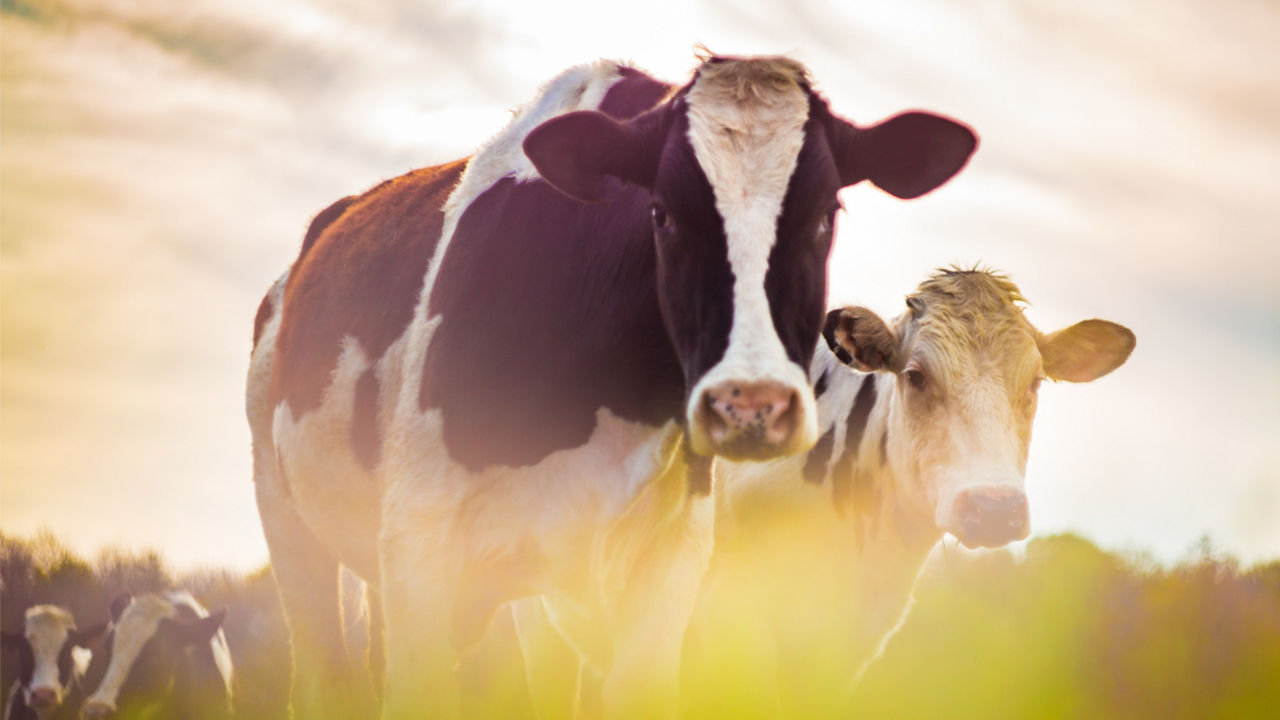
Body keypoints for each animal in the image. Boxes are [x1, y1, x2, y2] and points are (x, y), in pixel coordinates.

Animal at [244, 51, 972, 717]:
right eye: (663, 214)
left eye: (826, 215)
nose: (751, 406)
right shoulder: (420, 545)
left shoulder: (672, 562)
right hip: (292, 525)